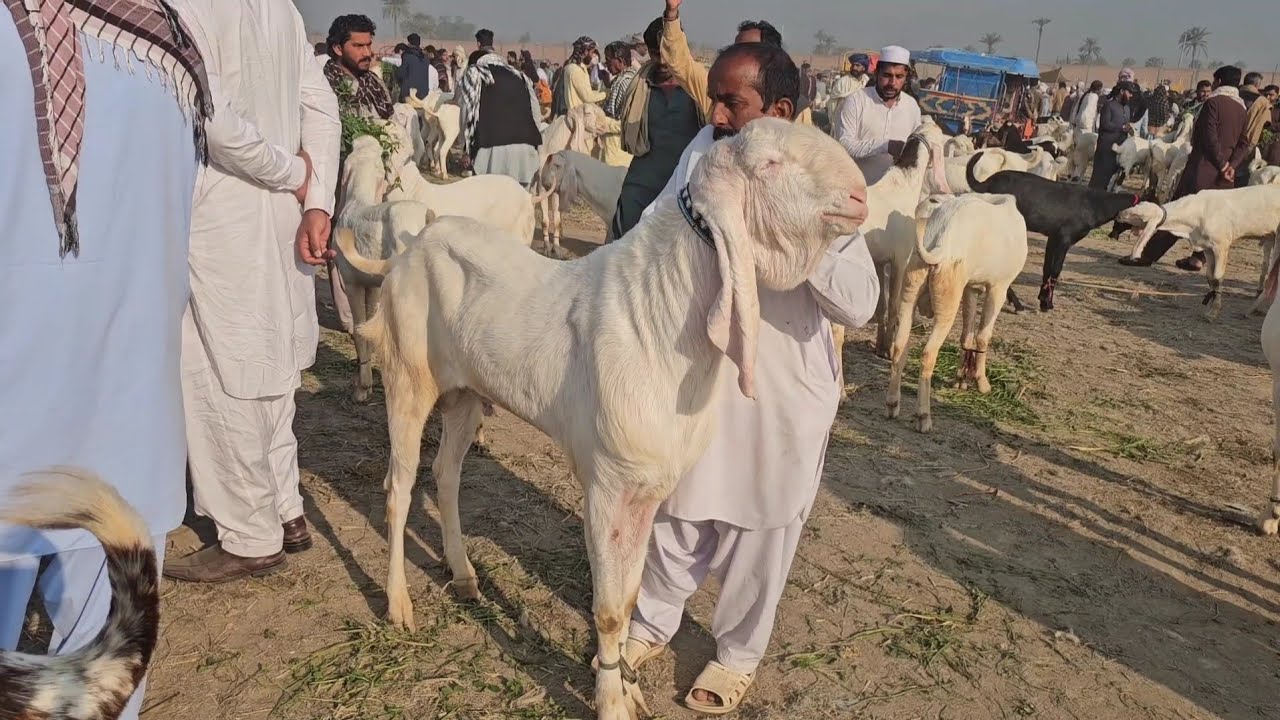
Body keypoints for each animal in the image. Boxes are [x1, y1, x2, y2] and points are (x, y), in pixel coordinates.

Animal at [347, 119, 866, 720]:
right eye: (770, 164)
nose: (860, 196)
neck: (658, 317)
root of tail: (407, 251)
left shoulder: (649, 488)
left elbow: (633, 593)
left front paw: (629, 687)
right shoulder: (607, 483)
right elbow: (610, 607)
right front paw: (611, 701)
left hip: (464, 391)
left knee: (446, 474)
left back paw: (465, 575)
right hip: (408, 375)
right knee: (398, 486)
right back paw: (399, 605)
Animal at [886, 194, 1027, 432]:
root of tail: (940, 238)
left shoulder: (970, 287)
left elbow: (967, 334)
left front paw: (961, 379)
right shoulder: (999, 287)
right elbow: (983, 336)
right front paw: (982, 383)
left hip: (910, 286)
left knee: (899, 346)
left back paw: (892, 405)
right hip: (948, 297)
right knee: (928, 353)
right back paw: (924, 417)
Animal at [966, 155, 1142, 311]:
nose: (1113, 235)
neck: (1095, 204)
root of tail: (987, 183)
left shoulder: (1053, 238)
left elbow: (1047, 269)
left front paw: (1043, 299)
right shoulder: (1064, 239)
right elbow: (1056, 270)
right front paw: (1047, 303)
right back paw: (1017, 304)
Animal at [1115, 186, 1280, 319]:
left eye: (1137, 216)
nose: (1118, 214)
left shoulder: (1222, 245)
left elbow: (1217, 278)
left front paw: (1213, 313)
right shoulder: (1207, 248)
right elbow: (1210, 278)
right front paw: (1210, 308)